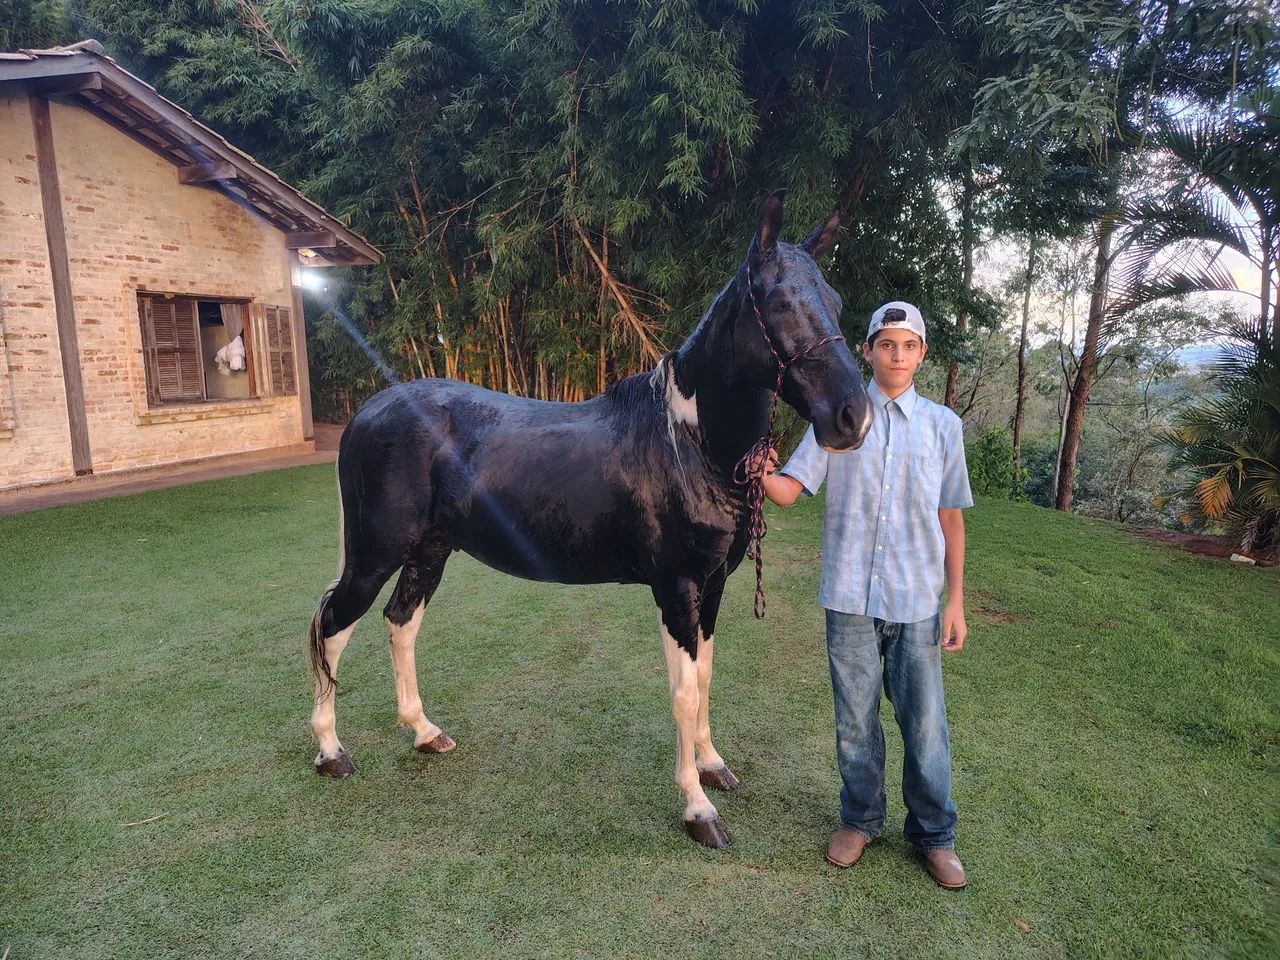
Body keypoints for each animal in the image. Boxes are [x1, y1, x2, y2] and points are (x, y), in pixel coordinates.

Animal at [307, 190, 872, 848]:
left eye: (834, 301)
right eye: (780, 303)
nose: (852, 417)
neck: (686, 441)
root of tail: (368, 412)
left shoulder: (712, 588)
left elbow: (706, 676)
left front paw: (714, 766)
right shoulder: (677, 589)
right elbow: (683, 694)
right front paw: (698, 809)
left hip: (430, 552)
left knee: (401, 624)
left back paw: (424, 732)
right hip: (374, 556)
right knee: (333, 626)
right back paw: (331, 752)